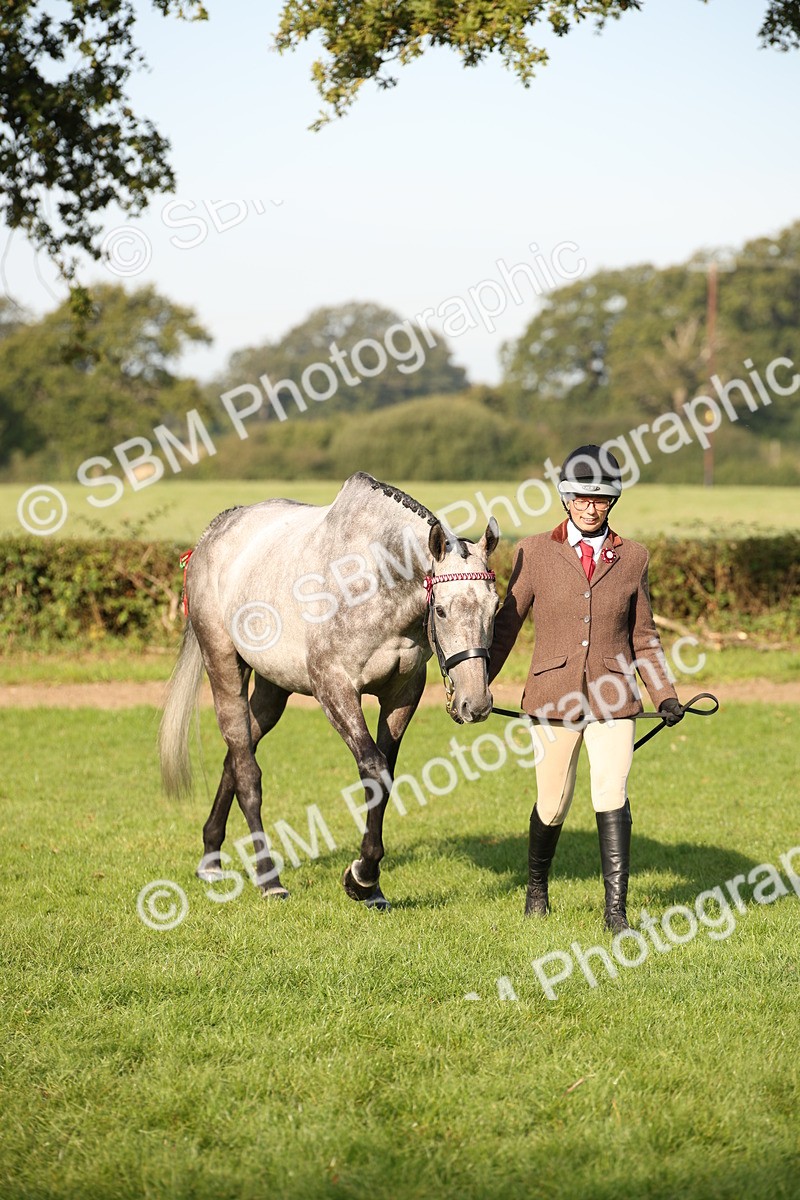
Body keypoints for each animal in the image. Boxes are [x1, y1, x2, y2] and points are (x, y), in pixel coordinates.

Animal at [159, 472, 500, 910]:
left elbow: (385, 776)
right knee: (247, 771)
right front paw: (362, 877)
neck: (371, 579)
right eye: (440, 610)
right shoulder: (334, 689)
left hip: (273, 689)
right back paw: (268, 877)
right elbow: (373, 768)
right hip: (223, 666)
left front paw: (369, 885)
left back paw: (211, 858)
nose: (476, 704)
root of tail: (213, 534)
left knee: (237, 754)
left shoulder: (402, 694)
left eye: (495, 607)